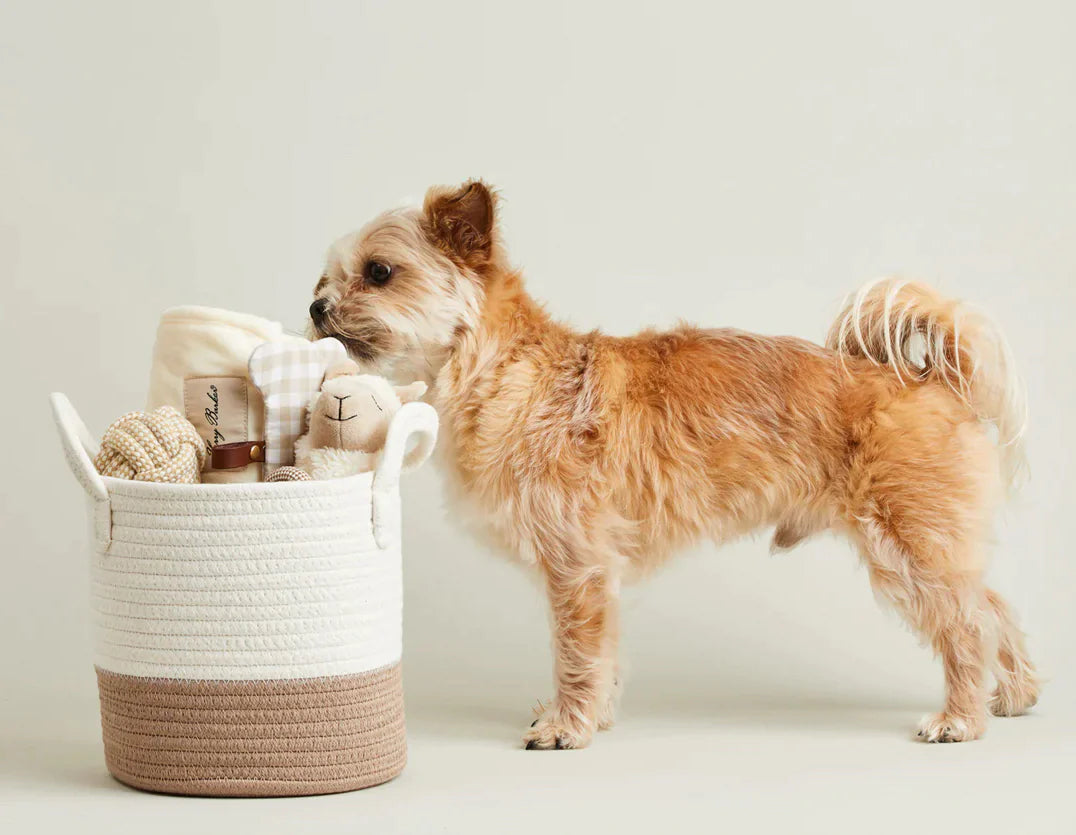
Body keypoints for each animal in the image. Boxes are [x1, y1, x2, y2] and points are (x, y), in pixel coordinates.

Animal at [307, 179, 1037, 748]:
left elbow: (575, 653)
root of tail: (931, 376)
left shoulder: (577, 568)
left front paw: (568, 725)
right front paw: (589, 716)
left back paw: (961, 717)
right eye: (325, 278)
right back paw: (1014, 694)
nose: (314, 306)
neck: (510, 370)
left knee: (968, 627)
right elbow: (600, 655)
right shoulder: (595, 576)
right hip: (933, 547)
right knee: (994, 606)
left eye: (378, 272)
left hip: (907, 547)